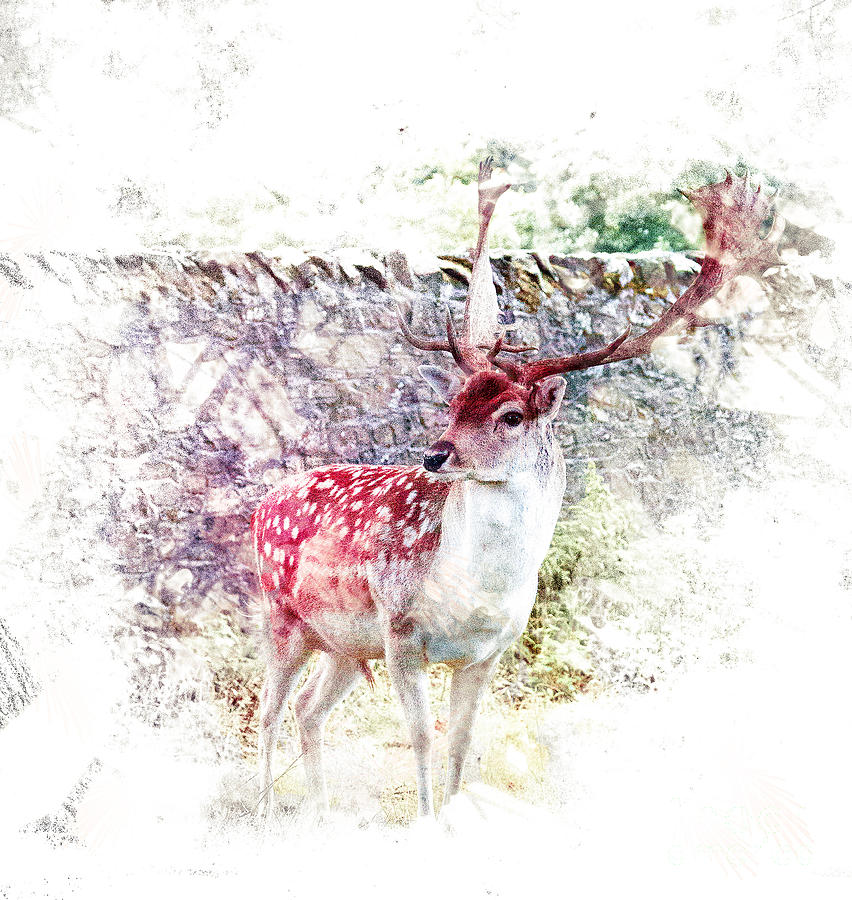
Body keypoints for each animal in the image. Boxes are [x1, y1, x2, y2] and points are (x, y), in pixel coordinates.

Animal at [251, 158, 783, 823]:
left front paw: (457, 820)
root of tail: (263, 502)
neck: (471, 594)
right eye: (454, 402)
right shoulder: (401, 630)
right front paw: (425, 822)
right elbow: (421, 736)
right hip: (282, 616)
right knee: (267, 713)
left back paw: (322, 815)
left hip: (345, 646)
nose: (435, 455)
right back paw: (265, 812)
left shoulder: (489, 651)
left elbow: (462, 741)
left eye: (510, 414)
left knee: (306, 711)